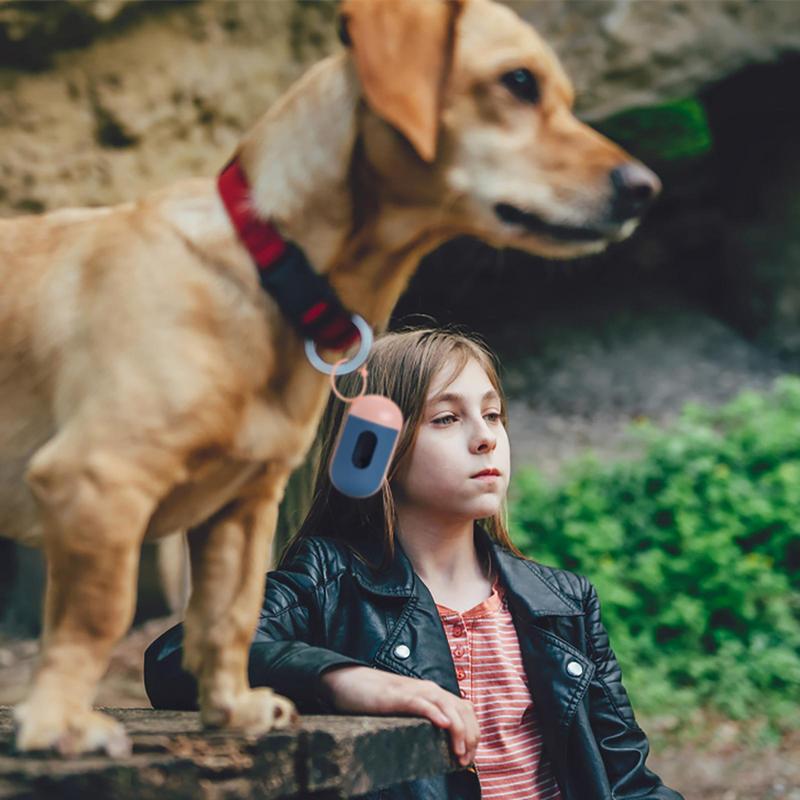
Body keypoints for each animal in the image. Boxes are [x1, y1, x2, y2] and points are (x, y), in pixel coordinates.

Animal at [0, 0, 656, 756]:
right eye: (518, 81)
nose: (646, 188)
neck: (265, 268)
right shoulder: (97, 481)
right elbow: (97, 614)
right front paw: (60, 723)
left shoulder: (243, 505)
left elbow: (228, 615)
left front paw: (233, 709)